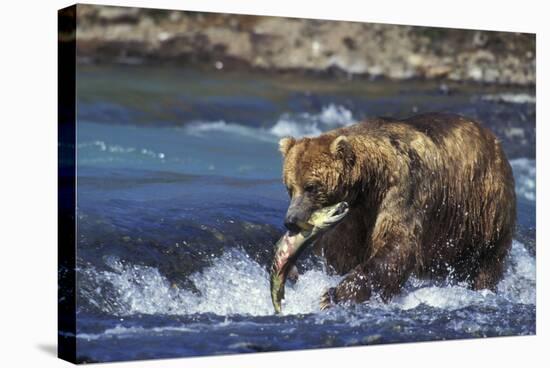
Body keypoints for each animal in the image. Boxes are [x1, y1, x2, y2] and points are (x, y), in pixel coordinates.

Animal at [280, 112, 516, 308]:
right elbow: (340, 250)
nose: (291, 220)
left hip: (483, 208)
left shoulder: (403, 188)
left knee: (488, 258)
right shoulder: (355, 213)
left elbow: (397, 245)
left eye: (311, 187)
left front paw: (333, 295)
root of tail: (494, 138)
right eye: (290, 187)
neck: (369, 183)